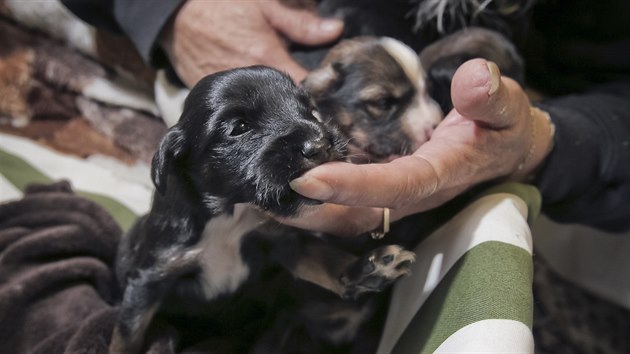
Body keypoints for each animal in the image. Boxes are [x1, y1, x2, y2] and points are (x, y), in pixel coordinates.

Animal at [110, 66, 414, 354]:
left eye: (310, 110)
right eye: (240, 127)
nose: (320, 145)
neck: (231, 215)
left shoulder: (282, 243)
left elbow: (324, 258)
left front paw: (367, 270)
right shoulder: (151, 276)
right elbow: (127, 334)